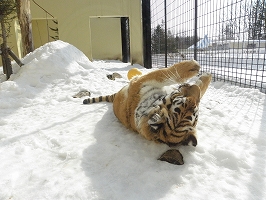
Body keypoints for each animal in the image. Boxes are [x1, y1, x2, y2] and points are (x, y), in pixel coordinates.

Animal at [83, 60, 212, 165]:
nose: (190, 86)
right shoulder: (142, 82)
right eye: (181, 99)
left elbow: (165, 74)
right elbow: (165, 73)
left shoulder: (142, 82)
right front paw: (198, 69)